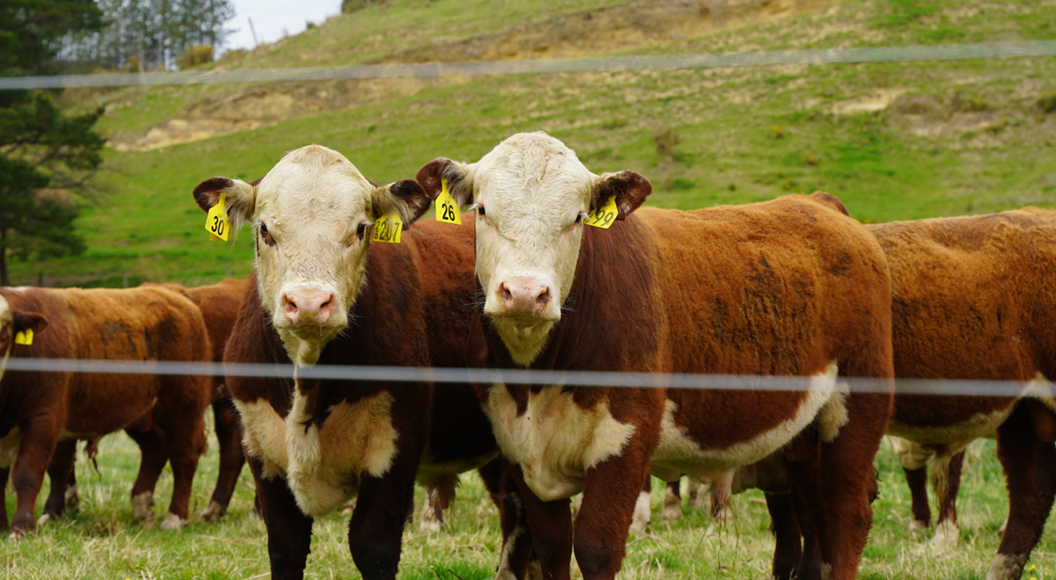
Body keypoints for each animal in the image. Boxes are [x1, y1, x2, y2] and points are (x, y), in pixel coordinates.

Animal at [0, 285, 213, 537]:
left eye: (3, 335)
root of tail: (170, 290)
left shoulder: (43, 419)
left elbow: (27, 474)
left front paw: (20, 529)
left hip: (183, 406)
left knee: (184, 457)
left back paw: (175, 518)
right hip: (140, 413)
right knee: (155, 449)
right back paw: (142, 507)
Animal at [192, 144, 506, 580]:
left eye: (360, 229)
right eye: (265, 230)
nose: (308, 303)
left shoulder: (393, 445)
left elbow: (373, 546)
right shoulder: (262, 451)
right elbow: (285, 548)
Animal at [415, 131, 895, 580]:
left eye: (577, 218)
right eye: (481, 210)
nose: (525, 294)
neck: (534, 382)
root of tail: (818, 202)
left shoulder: (624, 440)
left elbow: (596, 546)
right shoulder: (517, 447)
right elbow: (551, 546)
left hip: (857, 409)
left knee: (847, 511)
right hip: (803, 438)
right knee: (814, 511)